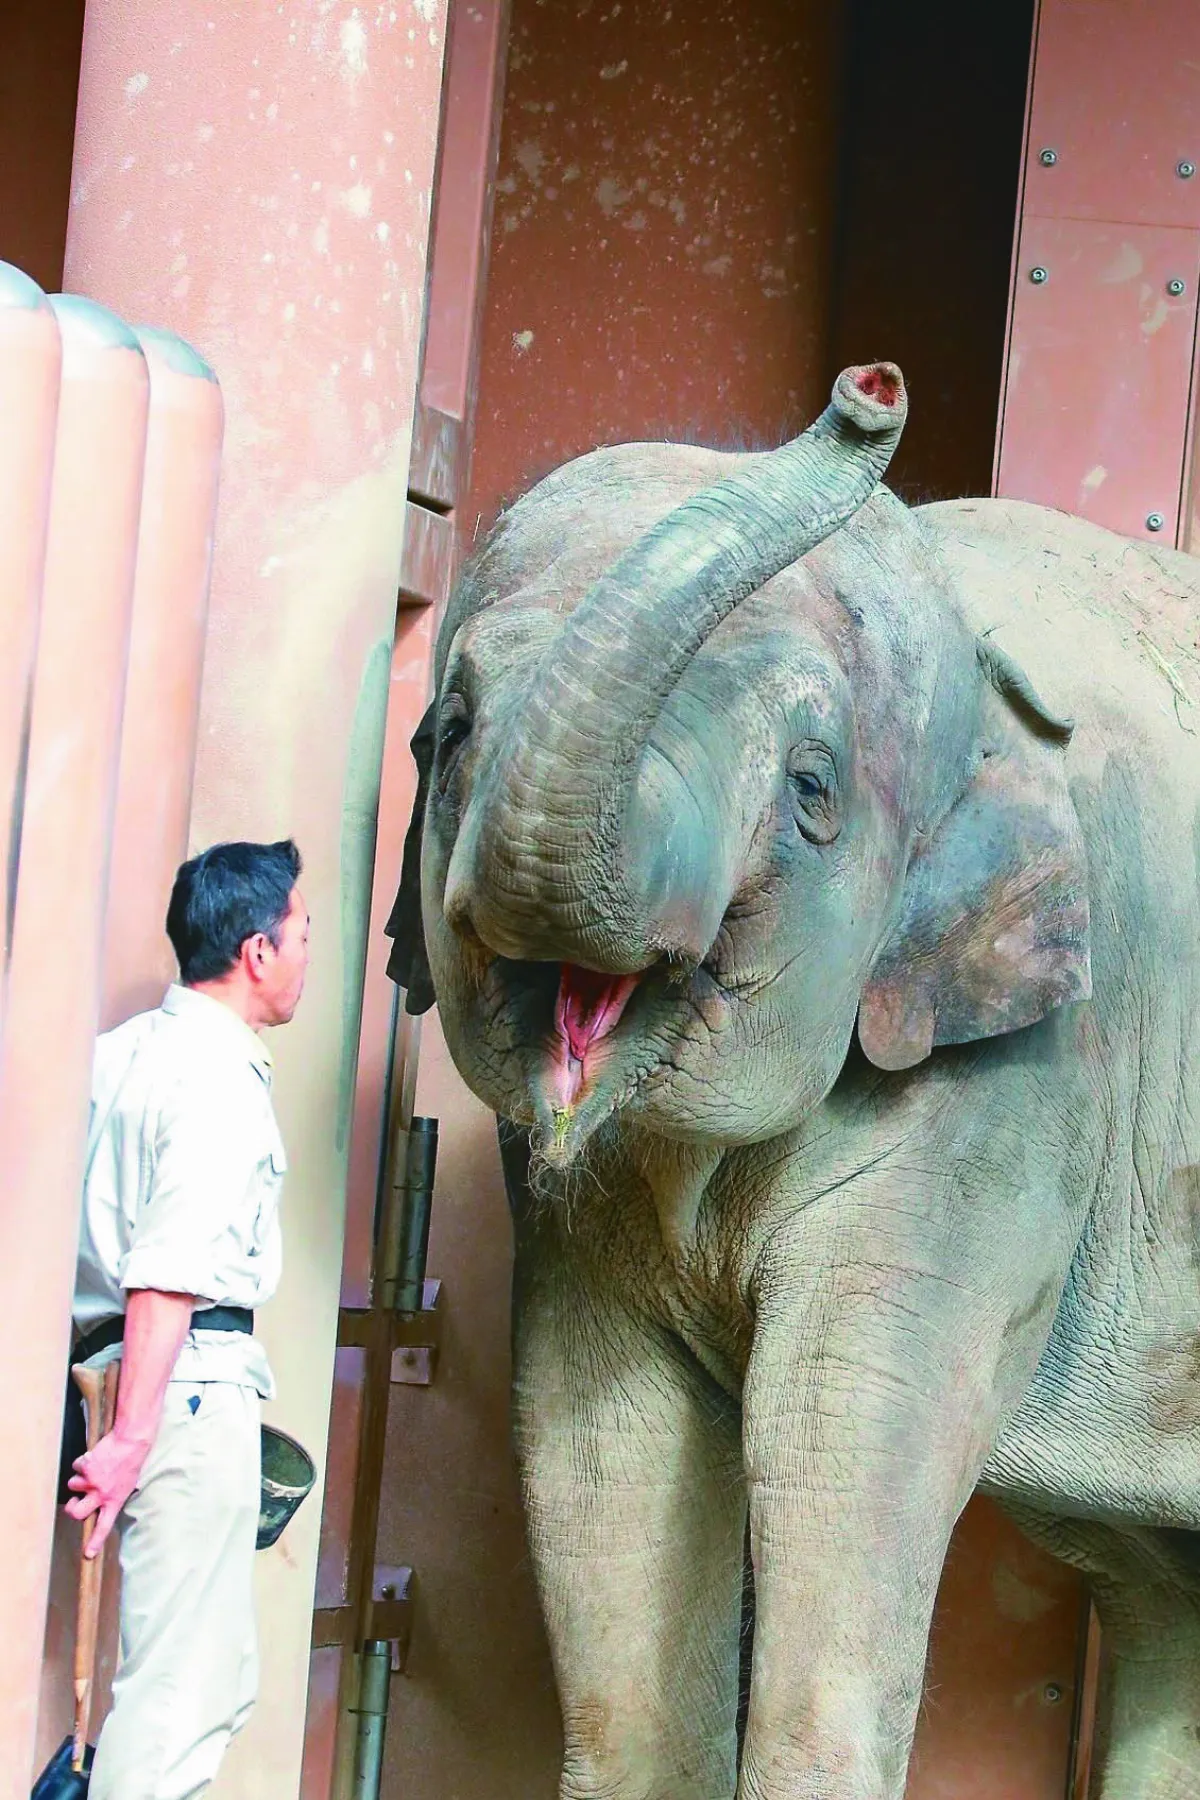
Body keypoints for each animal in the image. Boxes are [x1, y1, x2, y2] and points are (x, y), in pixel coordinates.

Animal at [386, 360, 1200, 1800]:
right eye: (454, 730)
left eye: (815, 790)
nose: (871, 388)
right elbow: (599, 1438)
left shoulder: (1022, 1093)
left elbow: (838, 1433)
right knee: (1161, 1587)